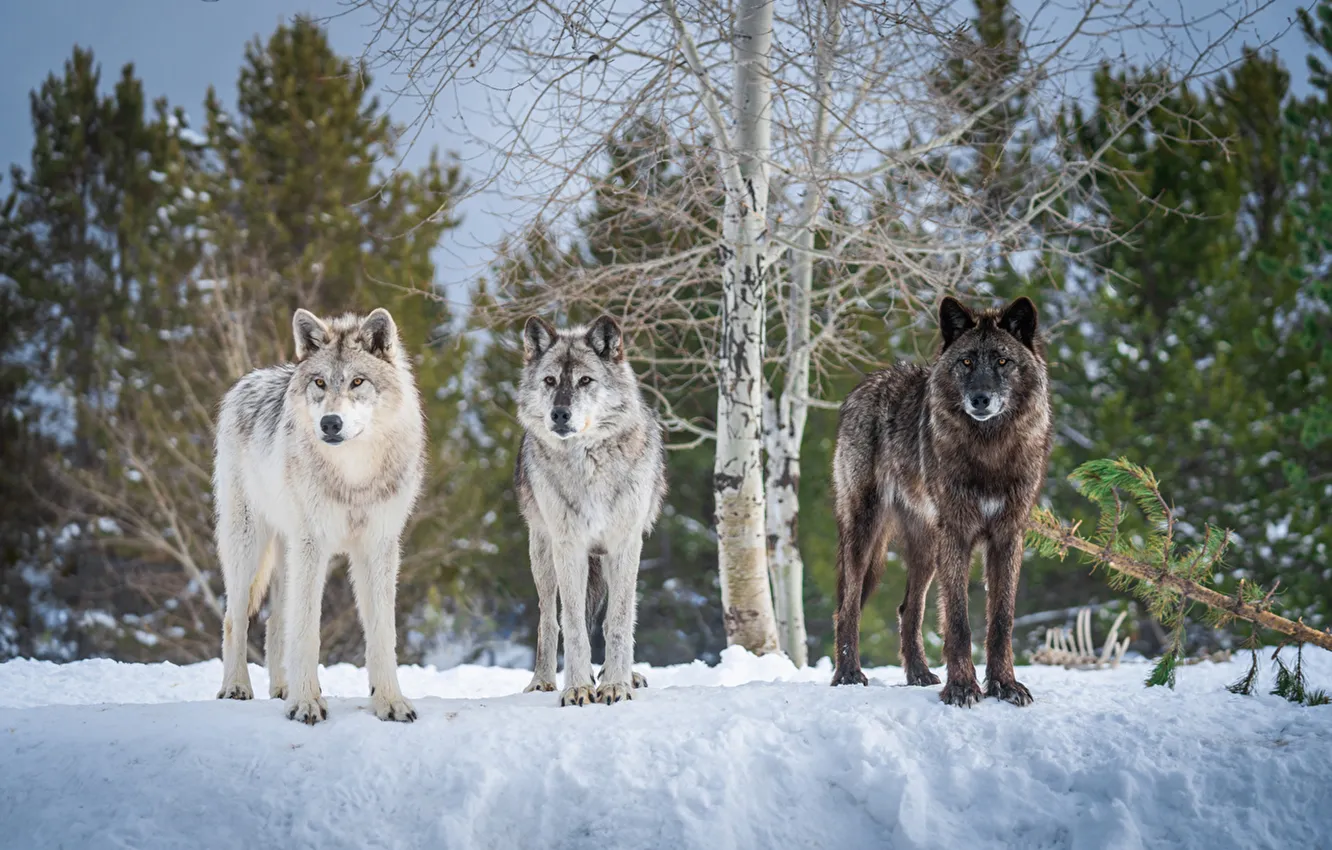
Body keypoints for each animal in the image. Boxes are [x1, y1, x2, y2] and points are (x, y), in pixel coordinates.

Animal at [214, 307, 425, 725]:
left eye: (357, 381)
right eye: (320, 382)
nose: (330, 423)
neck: (354, 475)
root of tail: (250, 377)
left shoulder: (378, 547)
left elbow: (382, 633)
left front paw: (390, 702)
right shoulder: (313, 544)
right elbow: (307, 629)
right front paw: (307, 703)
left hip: (286, 550)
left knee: (275, 620)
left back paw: (280, 688)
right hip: (248, 543)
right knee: (235, 618)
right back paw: (237, 687)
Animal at [515, 315, 667, 707]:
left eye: (585, 380)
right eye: (550, 381)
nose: (559, 413)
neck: (589, 464)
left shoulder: (625, 545)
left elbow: (620, 621)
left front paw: (615, 685)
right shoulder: (569, 547)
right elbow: (572, 625)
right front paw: (578, 688)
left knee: (620, 616)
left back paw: (628, 675)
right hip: (542, 555)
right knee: (548, 620)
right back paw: (542, 680)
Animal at [830, 296, 1051, 707]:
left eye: (1002, 361)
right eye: (965, 362)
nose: (980, 399)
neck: (989, 452)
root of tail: (868, 382)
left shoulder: (1008, 537)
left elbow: (1002, 621)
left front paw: (1005, 685)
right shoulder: (958, 536)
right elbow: (959, 623)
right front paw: (963, 687)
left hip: (927, 546)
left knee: (908, 608)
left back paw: (918, 674)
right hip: (864, 532)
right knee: (847, 608)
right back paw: (848, 675)